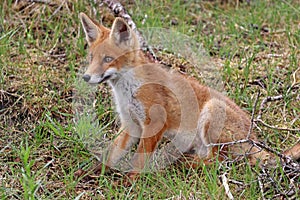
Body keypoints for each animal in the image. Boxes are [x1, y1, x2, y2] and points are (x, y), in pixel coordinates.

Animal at [79, 12, 300, 180]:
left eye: (108, 59)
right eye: (91, 58)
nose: (86, 77)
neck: (128, 90)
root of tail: (253, 138)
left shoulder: (155, 122)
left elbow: (138, 160)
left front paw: (128, 183)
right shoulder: (131, 124)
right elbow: (110, 155)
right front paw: (91, 173)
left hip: (212, 111)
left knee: (219, 162)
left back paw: (181, 165)